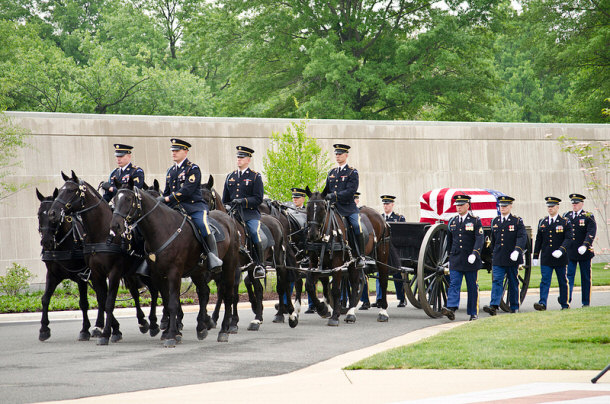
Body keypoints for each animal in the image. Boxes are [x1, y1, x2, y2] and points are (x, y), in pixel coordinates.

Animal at [48, 172, 159, 346]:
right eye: (59, 190)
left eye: (71, 190)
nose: (52, 213)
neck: (101, 232)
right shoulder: (96, 273)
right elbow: (102, 300)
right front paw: (109, 330)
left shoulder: (114, 272)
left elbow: (109, 302)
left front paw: (106, 333)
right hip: (132, 273)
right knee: (138, 292)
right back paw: (144, 322)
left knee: (154, 292)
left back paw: (157, 324)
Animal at [109, 175, 238, 346]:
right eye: (114, 199)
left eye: (129, 199)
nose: (115, 226)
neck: (162, 229)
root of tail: (229, 220)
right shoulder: (158, 274)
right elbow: (167, 300)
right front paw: (172, 332)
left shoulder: (174, 272)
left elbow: (172, 303)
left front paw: (171, 335)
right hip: (197, 271)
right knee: (204, 292)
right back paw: (201, 328)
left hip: (229, 266)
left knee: (228, 294)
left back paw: (224, 330)